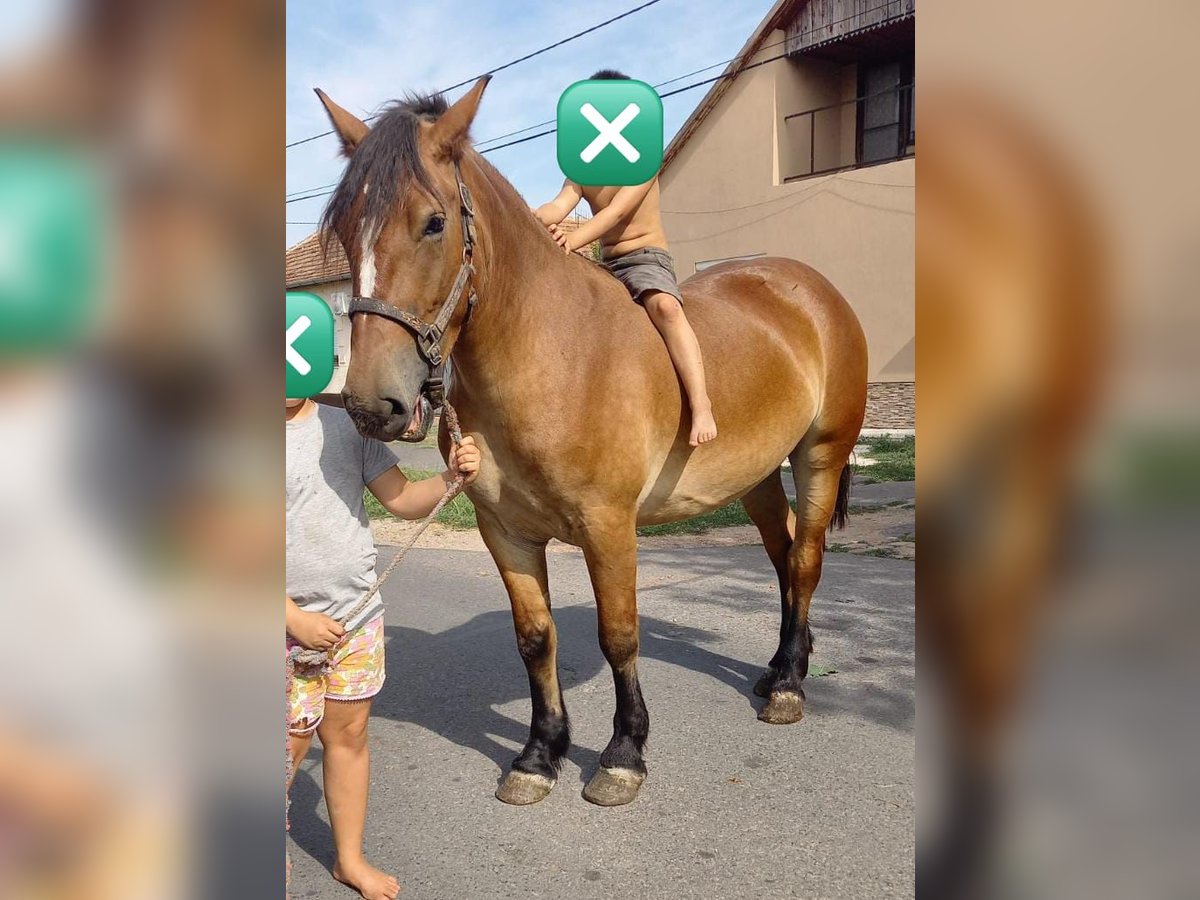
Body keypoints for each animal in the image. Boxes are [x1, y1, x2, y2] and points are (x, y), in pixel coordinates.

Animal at [314, 79, 868, 811]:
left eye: (433, 223)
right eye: (347, 231)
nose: (373, 405)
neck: (551, 356)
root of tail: (809, 289)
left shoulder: (609, 526)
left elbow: (618, 634)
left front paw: (623, 753)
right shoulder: (505, 530)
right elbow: (534, 637)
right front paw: (539, 753)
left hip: (820, 455)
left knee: (804, 561)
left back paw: (787, 688)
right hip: (752, 476)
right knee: (781, 557)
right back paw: (781, 665)